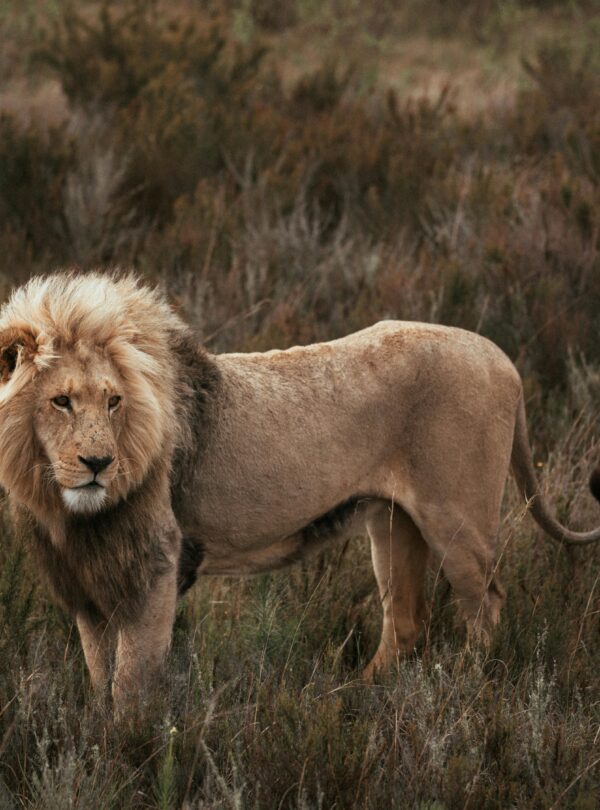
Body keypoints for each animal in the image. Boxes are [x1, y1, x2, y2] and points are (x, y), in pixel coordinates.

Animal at [0, 271, 598, 714]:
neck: (71, 511)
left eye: (114, 401)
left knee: (485, 604)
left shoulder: (155, 568)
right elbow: (100, 678)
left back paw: (467, 689)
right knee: (405, 620)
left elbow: (129, 685)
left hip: (456, 520)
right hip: (393, 522)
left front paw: (131, 751)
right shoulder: (86, 582)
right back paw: (349, 697)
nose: (98, 464)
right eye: (61, 402)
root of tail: (503, 358)